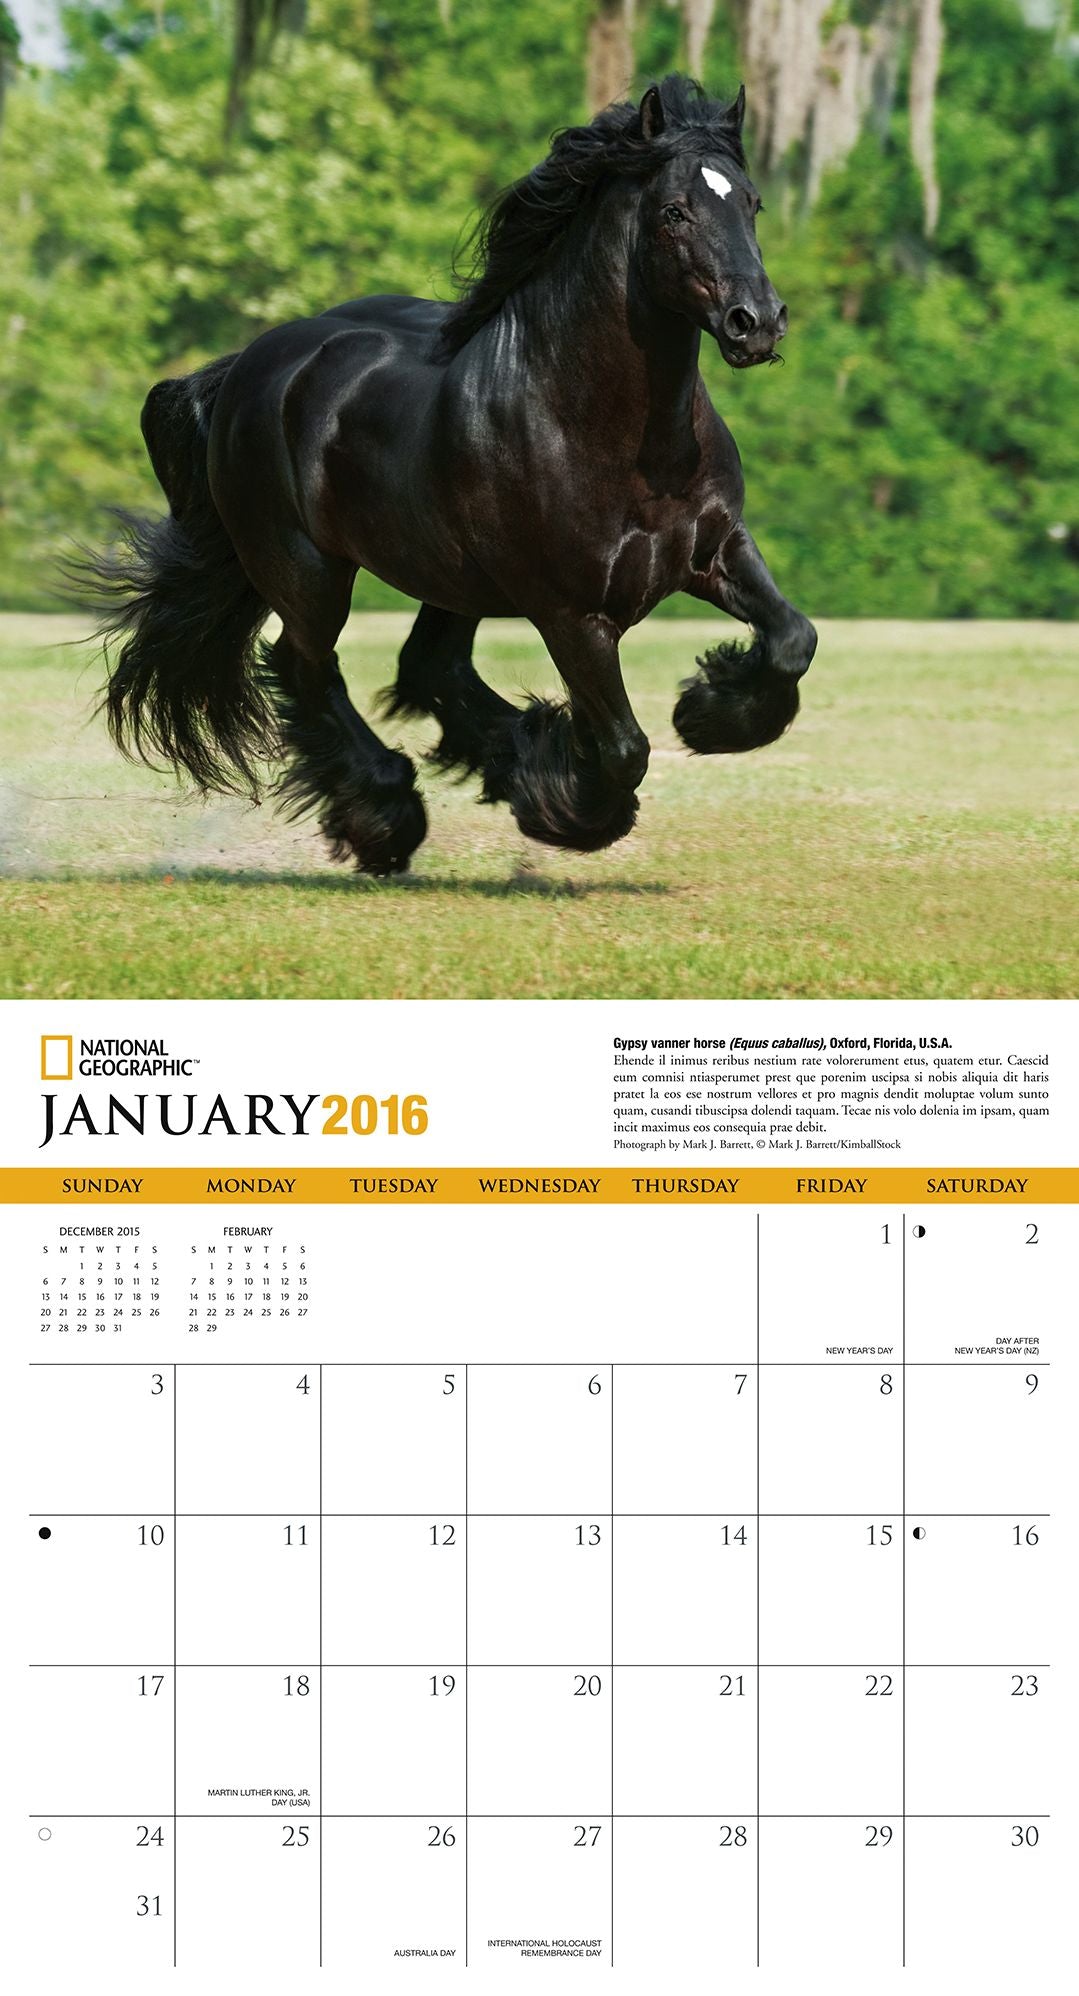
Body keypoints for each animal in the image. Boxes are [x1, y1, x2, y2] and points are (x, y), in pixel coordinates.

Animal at [86, 73, 817, 876]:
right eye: (674, 211)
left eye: (750, 203)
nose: (758, 322)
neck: (613, 432)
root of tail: (250, 364)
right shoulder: (571, 614)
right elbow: (626, 747)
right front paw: (564, 805)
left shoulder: (715, 550)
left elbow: (793, 639)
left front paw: (705, 713)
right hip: (306, 570)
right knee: (307, 667)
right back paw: (387, 816)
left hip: (451, 577)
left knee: (426, 665)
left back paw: (500, 758)